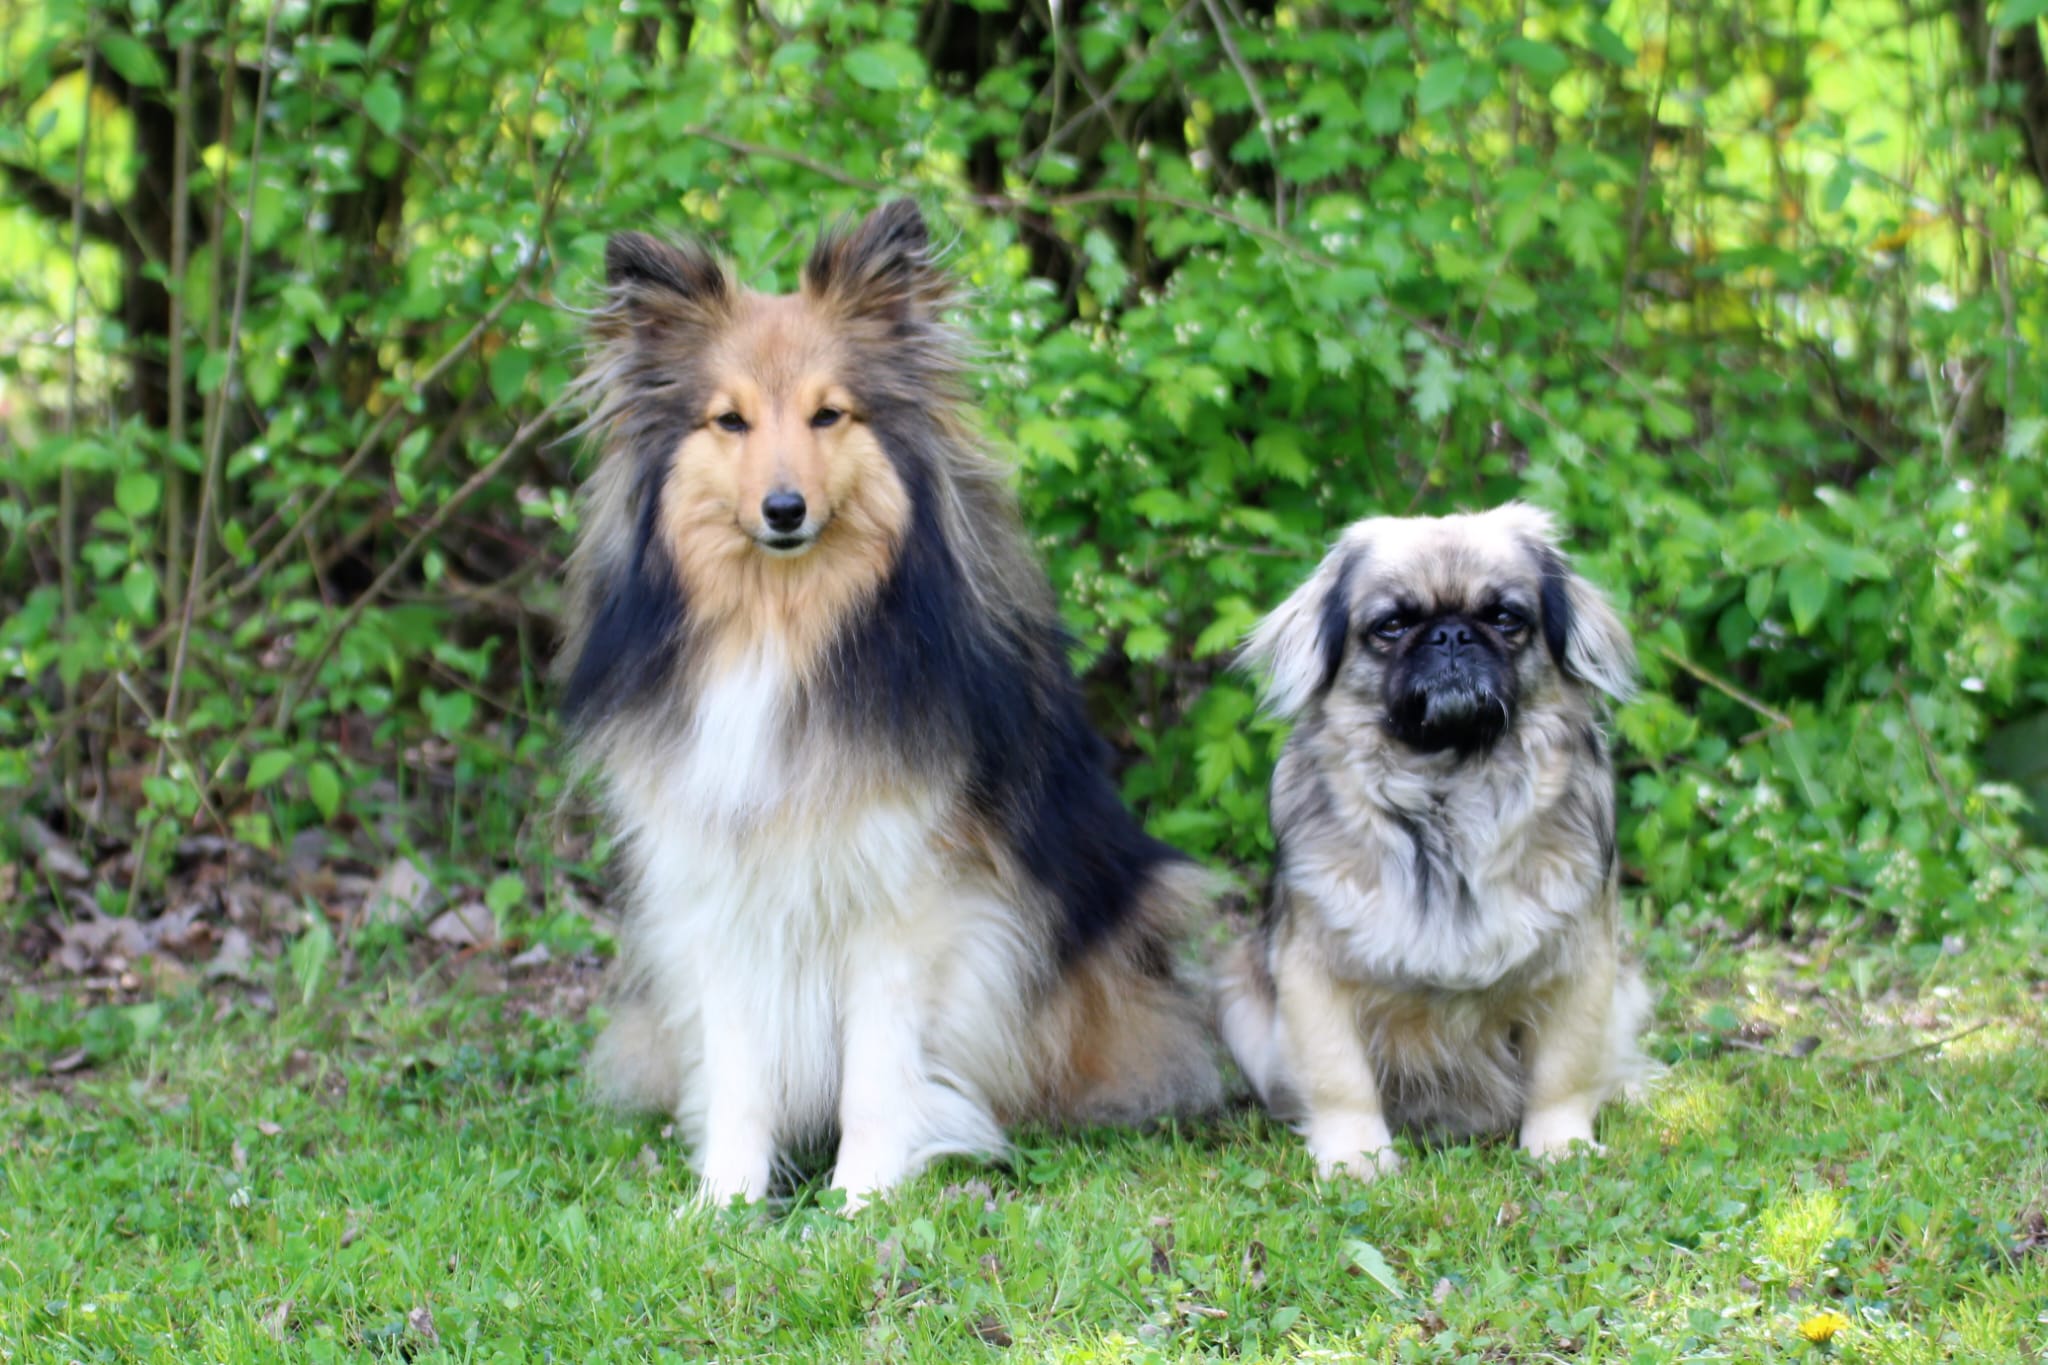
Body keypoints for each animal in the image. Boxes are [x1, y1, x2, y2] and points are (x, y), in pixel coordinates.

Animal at [557, 200, 1212, 1203]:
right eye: (729, 421)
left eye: (829, 413)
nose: (784, 509)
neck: (784, 628)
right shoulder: (723, 890)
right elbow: (739, 1065)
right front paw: (721, 1202)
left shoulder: (905, 897)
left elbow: (876, 1067)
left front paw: (860, 1198)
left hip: (1127, 909)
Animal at [1212, 507, 1646, 1178]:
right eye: (1391, 625)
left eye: (1505, 618)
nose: (1451, 635)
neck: (1449, 790)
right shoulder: (1313, 976)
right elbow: (1340, 1078)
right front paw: (1356, 1157)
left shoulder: (1580, 969)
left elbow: (1564, 1072)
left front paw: (1559, 1147)